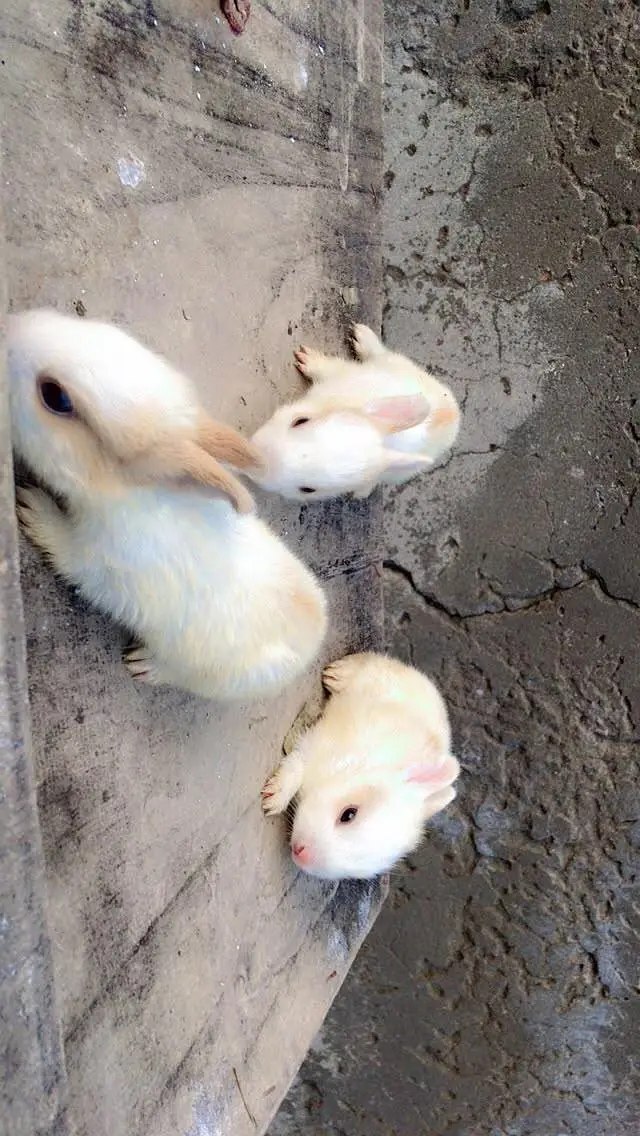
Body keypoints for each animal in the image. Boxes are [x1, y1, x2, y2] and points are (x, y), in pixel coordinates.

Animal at [9, 308, 328, 701]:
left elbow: (61, 547)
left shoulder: (92, 558)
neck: (128, 495)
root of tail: (313, 640)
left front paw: (30, 506)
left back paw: (144, 665)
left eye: (55, 396)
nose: (9, 328)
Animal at [250, 323, 461, 501]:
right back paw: (362, 335)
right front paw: (306, 358)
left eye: (308, 490)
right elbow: (323, 367)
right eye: (301, 421)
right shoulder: (341, 374)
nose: (257, 460)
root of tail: (455, 414)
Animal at [262, 652, 460, 879]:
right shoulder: (315, 745)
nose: (301, 853)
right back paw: (336, 675)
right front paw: (273, 799)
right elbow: (295, 766)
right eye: (349, 814)